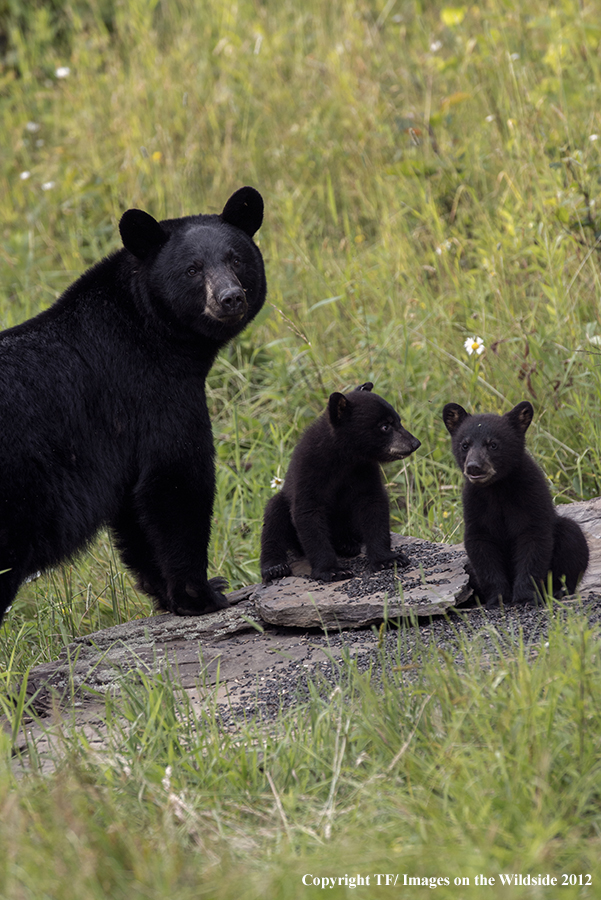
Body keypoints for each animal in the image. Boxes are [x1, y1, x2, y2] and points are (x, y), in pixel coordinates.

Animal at [0, 186, 264, 624]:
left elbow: (135, 515)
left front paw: (172, 594)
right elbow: (176, 478)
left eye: (236, 259)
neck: (148, 327)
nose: (230, 298)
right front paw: (203, 594)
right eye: (192, 269)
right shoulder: (150, 390)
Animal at [260, 384, 420, 584]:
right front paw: (332, 570)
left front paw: (388, 559)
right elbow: (308, 513)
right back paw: (274, 567)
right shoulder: (309, 470)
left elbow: (374, 506)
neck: (344, 458)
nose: (415, 443)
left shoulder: (364, 471)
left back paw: (346, 544)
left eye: (399, 421)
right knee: (273, 519)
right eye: (385, 426)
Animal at [442, 400, 588, 604]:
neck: (497, 489)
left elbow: (533, 540)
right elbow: (481, 544)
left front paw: (525, 596)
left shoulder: (530, 494)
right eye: (465, 445)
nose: (474, 467)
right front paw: (498, 598)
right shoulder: (475, 503)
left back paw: (559, 590)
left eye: (493, 444)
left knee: (571, 534)